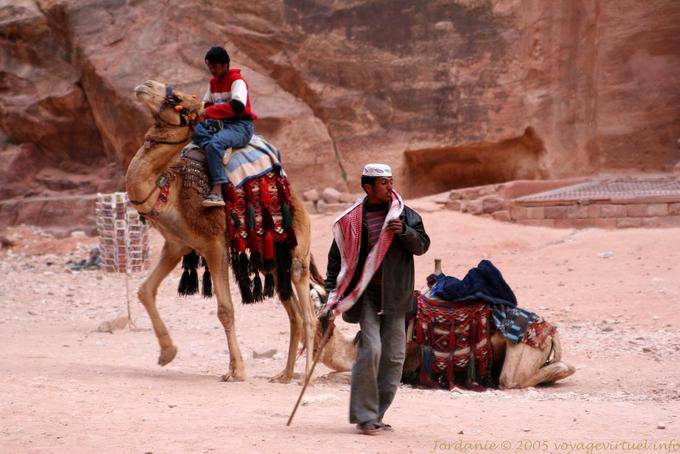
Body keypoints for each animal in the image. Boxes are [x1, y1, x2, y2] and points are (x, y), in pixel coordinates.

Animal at [126, 80, 316, 383]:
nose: (146, 85)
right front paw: (167, 353)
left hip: (298, 249)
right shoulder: (176, 244)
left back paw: (305, 374)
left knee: (308, 311)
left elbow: (225, 310)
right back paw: (284, 375)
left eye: (175, 98)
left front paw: (237, 370)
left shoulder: (213, 244)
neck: (168, 190)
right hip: (273, 257)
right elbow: (145, 290)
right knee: (294, 313)